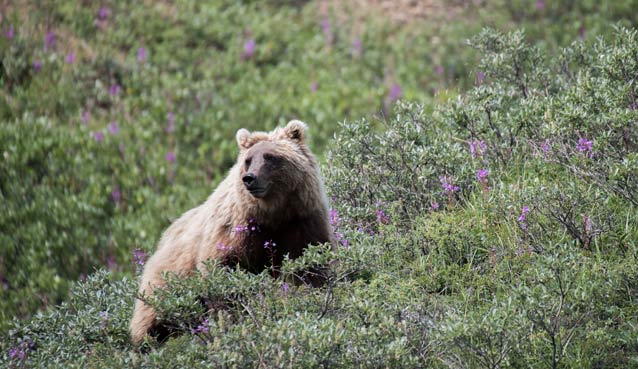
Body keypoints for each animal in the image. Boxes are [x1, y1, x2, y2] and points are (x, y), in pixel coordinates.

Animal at [128, 120, 332, 342]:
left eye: (270, 157)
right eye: (248, 160)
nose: (249, 178)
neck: (273, 213)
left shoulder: (301, 221)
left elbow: (310, 268)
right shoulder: (235, 228)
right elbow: (223, 269)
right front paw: (228, 318)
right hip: (168, 277)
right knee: (152, 314)